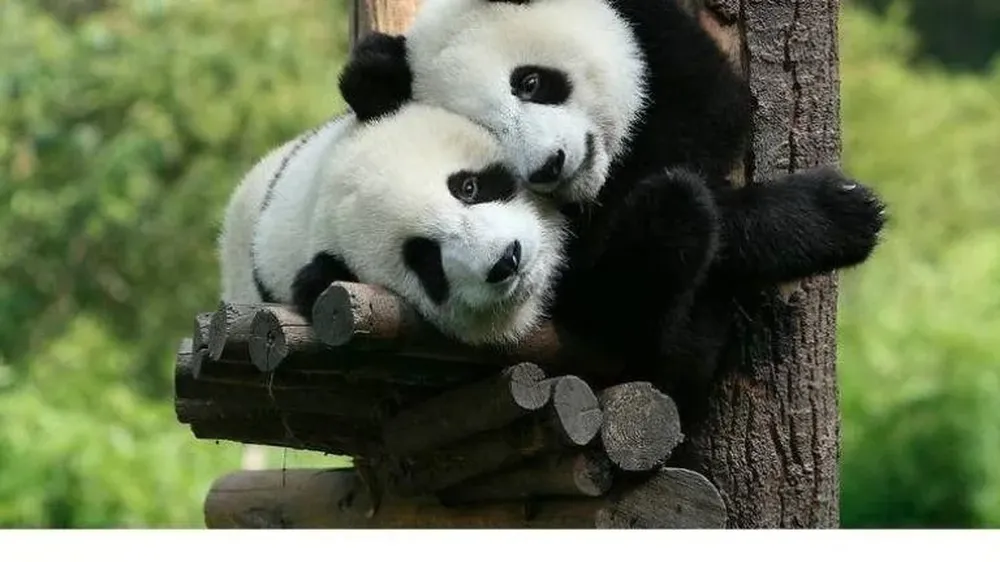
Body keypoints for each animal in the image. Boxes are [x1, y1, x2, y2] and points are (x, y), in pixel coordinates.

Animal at [338, 0, 886, 391]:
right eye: (487, 132)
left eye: (530, 82)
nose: (550, 164)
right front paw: (839, 214)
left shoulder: (658, 44)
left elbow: (711, 109)